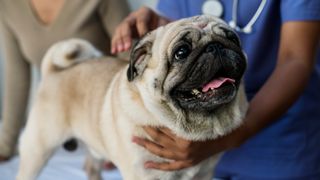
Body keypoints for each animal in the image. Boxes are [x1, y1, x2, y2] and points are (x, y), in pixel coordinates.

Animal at [16, 15, 248, 180]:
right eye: (181, 52)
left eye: (232, 39)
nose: (215, 46)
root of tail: (53, 72)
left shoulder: (203, 174)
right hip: (38, 149)